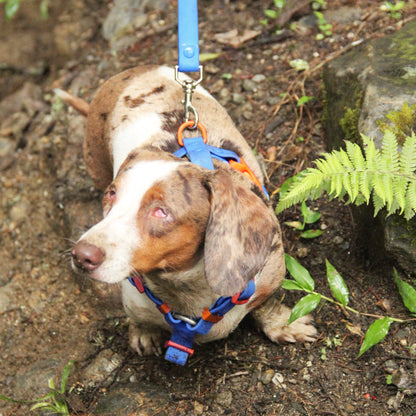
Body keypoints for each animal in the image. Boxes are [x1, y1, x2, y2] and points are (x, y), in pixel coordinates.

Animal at [67, 66, 316, 364]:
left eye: (161, 211)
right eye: (112, 194)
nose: (81, 255)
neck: (186, 289)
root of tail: (134, 72)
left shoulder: (269, 277)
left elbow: (266, 304)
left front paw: (284, 324)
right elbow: (140, 319)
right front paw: (143, 334)